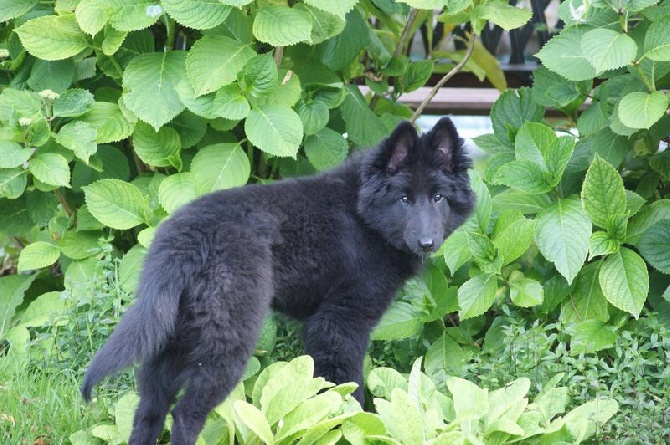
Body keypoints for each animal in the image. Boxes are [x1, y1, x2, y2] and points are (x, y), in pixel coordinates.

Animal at [81, 116, 476, 442]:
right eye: (404, 199)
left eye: (438, 197)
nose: (427, 243)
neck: (363, 214)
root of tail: (186, 238)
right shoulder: (339, 324)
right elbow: (346, 387)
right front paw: (352, 425)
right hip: (228, 338)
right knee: (185, 414)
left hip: (173, 334)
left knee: (149, 411)